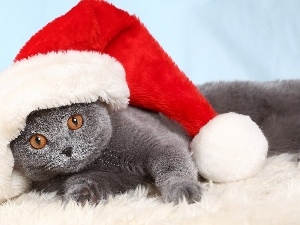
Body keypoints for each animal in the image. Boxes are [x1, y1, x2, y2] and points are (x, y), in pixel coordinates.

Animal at [9, 103, 202, 205]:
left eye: (75, 121)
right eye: (37, 141)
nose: (67, 149)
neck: (103, 159)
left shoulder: (160, 143)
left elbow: (173, 164)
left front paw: (183, 192)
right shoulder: (125, 178)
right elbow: (101, 180)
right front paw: (82, 193)